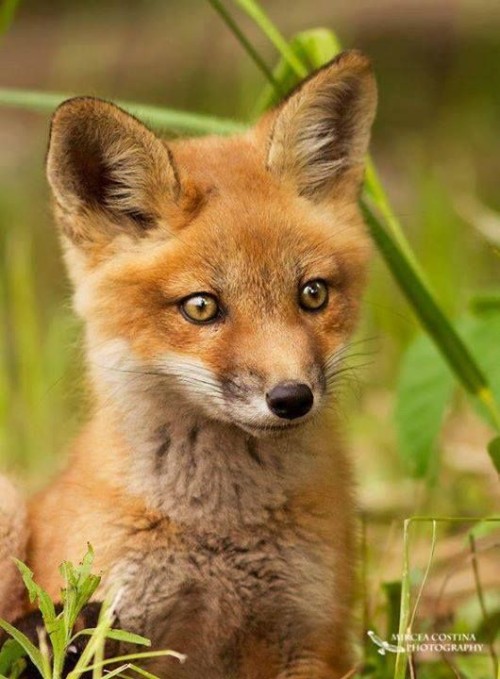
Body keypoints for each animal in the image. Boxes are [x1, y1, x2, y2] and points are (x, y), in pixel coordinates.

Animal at [0, 50, 377, 678]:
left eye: (313, 294)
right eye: (201, 307)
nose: (292, 398)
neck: (220, 531)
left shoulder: (309, 635)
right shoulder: (118, 633)